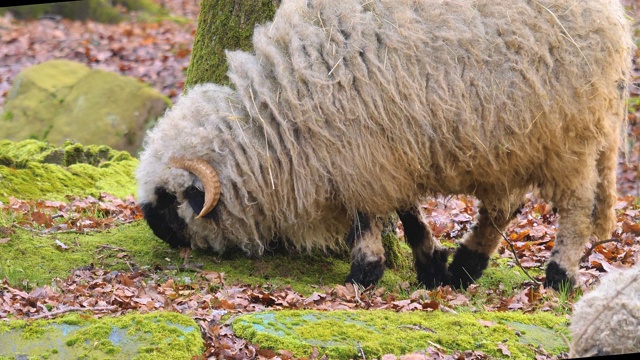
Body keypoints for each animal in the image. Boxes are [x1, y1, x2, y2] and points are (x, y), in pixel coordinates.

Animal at [136, 0, 636, 290]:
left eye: (171, 200)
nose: (154, 232)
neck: (275, 116)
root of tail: (614, 16)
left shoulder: (360, 154)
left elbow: (366, 219)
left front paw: (364, 273)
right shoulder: (387, 153)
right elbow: (408, 214)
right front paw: (431, 265)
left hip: (569, 134)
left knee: (576, 205)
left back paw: (558, 275)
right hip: (510, 139)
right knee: (504, 204)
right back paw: (466, 267)